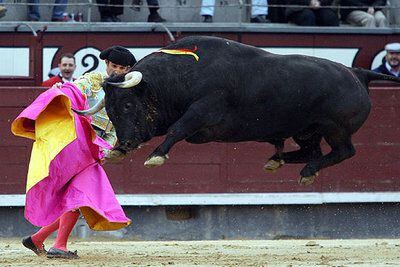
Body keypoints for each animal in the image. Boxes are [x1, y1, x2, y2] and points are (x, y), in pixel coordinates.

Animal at [79, 36, 400, 186]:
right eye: (110, 110)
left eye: (128, 104)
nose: (124, 145)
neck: (182, 76)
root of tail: (357, 73)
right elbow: (174, 128)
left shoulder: (204, 110)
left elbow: (177, 129)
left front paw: (156, 156)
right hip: (305, 131)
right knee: (311, 152)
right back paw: (277, 160)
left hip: (335, 129)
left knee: (344, 151)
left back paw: (304, 171)